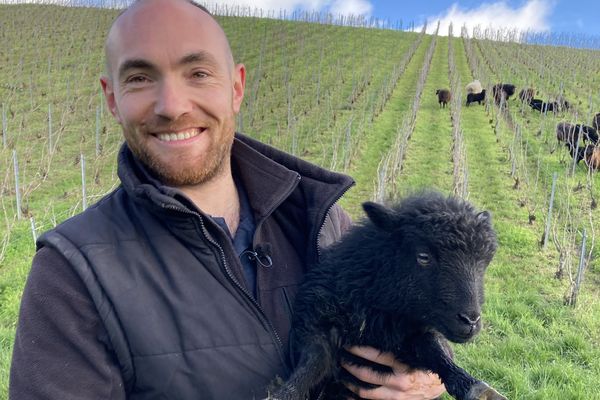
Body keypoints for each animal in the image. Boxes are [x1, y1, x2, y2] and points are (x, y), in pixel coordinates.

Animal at [272, 192, 506, 400]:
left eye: (485, 262)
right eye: (423, 256)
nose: (471, 321)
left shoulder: (412, 336)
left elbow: (436, 354)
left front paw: (474, 387)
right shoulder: (318, 322)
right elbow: (313, 362)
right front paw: (283, 394)